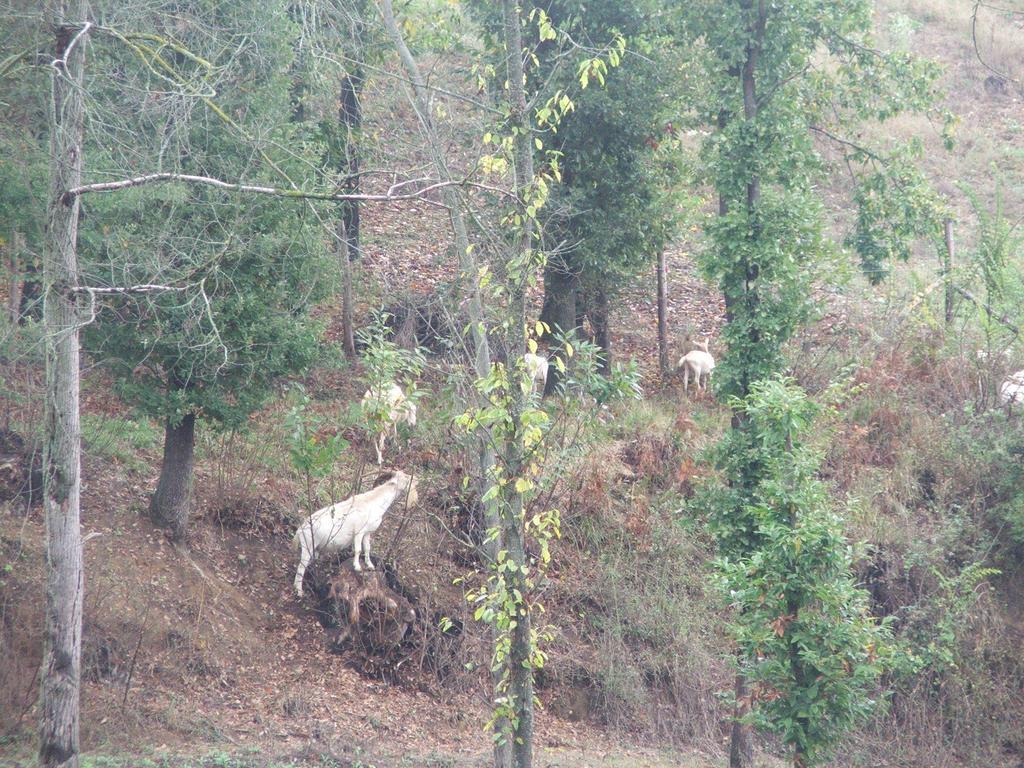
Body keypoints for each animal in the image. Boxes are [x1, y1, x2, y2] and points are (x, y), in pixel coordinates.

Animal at [290, 468, 417, 602]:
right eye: (405, 478)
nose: (416, 480)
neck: (372, 503)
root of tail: (300, 529)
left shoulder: (367, 533)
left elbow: (367, 549)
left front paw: (370, 565)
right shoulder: (359, 532)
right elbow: (358, 549)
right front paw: (357, 567)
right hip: (308, 547)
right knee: (301, 567)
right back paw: (299, 592)